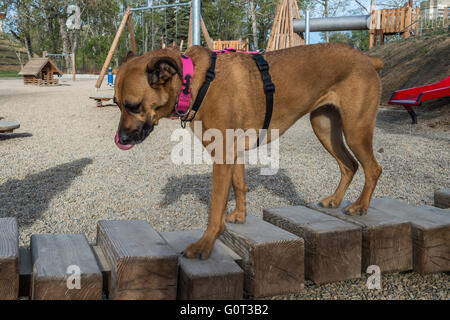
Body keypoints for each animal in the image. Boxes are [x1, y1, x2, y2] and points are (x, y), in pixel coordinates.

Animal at [113, 44, 384, 260]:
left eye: (133, 105)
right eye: (116, 104)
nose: (120, 140)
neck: (197, 82)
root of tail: (368, 59)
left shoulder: (222, 156)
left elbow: (216, 207)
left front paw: (205, 244)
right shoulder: (233, 154)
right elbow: (239, 186)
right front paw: (240, 215)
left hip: (355, 130)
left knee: (373, 168)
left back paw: (360, 206)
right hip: (325, 126)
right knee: (349, 165)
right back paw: (335, 200)